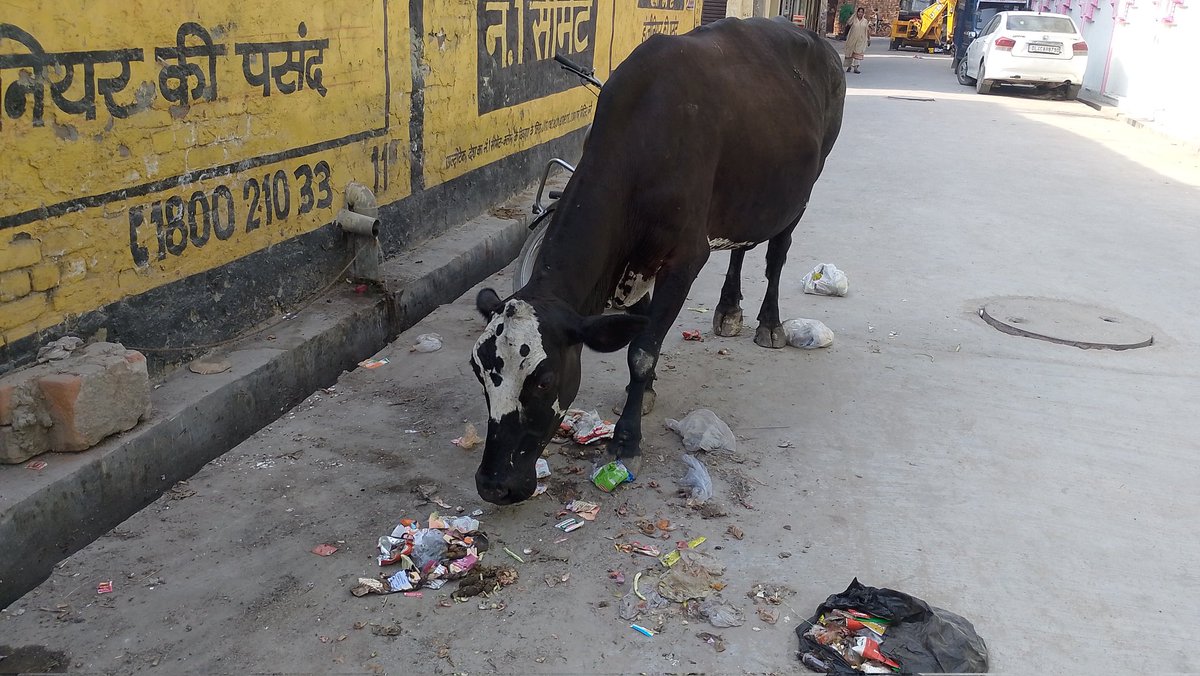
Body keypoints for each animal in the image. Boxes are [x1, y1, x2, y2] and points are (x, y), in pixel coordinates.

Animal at [469, 16, 846, 505]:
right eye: (479, 373)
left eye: (545, 379)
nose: (494, 484)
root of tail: (818, 41)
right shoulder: (636, 266)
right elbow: (640, 332)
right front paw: (643, 394)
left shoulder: (684, 259)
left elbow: (643, 351)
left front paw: (626, 438)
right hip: (747, 198)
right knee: (741, 248)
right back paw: (729, 309)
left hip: (802, 189)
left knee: (776, 256)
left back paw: (769, 324)